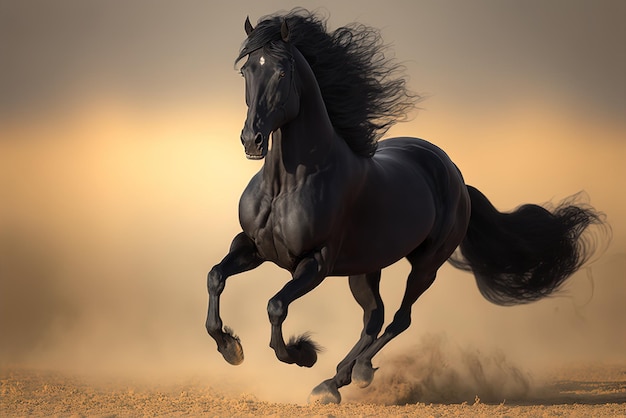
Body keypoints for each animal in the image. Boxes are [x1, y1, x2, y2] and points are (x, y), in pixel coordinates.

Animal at [206, 9, 604, 402]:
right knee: (374, 318)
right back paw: (337, 379)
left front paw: (303, 353)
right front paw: (230, 348)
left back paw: (347, 377)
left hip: (426, 264)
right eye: (246, 70)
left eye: (282, 71)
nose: (252, 140)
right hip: (366, 268)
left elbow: (276, 306)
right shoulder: (252, 246)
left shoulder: (315, 262)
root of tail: (455, 176)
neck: (286, 185)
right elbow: (216, 277)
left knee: (399, 318)